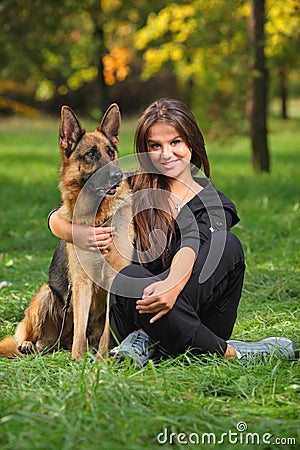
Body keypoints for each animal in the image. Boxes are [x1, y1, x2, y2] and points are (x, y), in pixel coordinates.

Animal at [0, 103, 134, 360]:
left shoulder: (113, 281)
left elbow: (106, 330)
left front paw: (101, 360)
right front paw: (78, 360)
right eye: (90, 154)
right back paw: (29, 345)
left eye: (111, 152)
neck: (97, 218)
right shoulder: (81, 282)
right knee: (28, 336)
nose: (118, 176)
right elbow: (80, 327)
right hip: (46, 294)